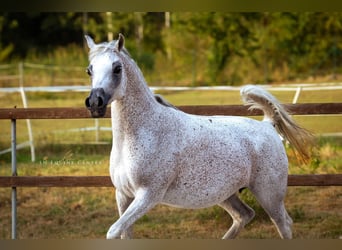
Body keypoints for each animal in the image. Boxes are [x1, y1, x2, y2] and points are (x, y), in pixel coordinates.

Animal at [84, 34, 314, 239]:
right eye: (89, 70)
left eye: (117, 68)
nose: (95, 102)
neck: (146, 132)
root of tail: (267, 125)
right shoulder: (123, 195)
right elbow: (123, 233)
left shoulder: (148, 195)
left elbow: (113, 231)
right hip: (226, 194)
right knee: (244, 216)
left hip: (269, 193)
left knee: (283, 224)